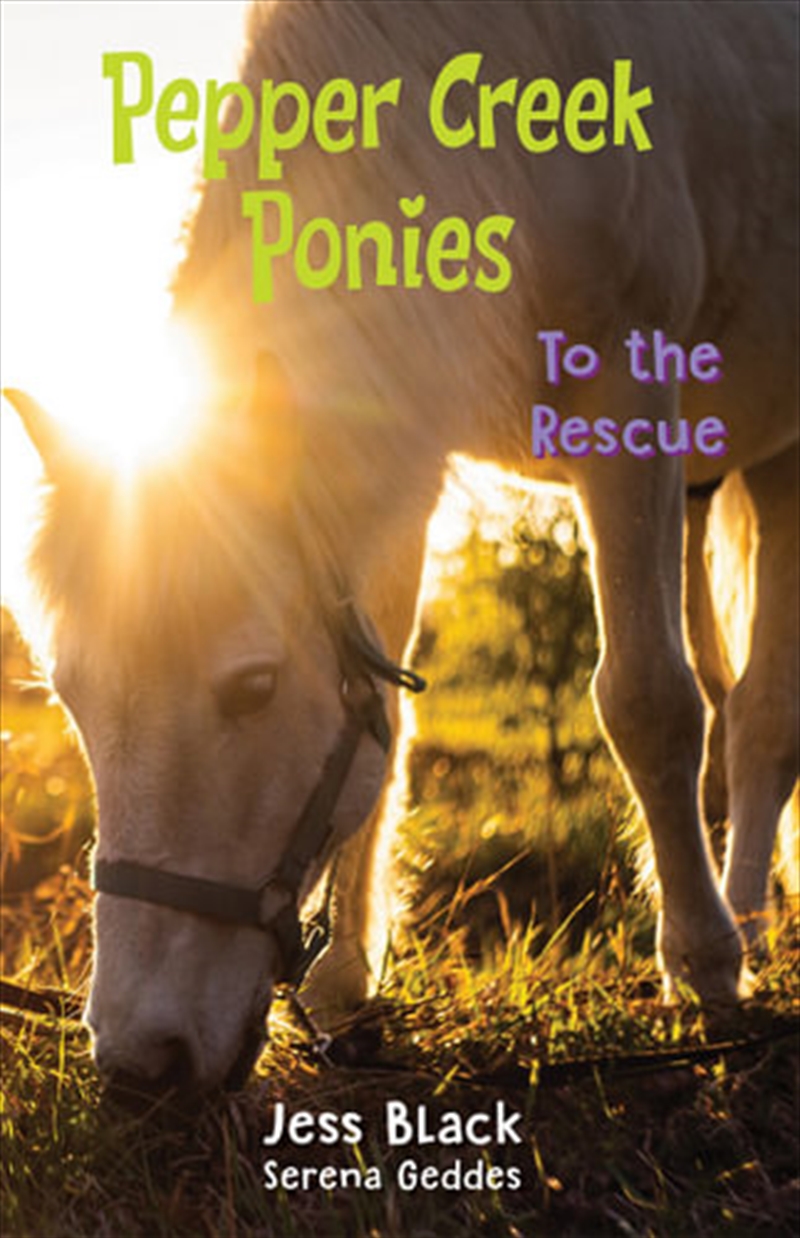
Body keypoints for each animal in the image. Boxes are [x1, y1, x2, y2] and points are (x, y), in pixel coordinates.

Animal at [6, 0, 798, 1094]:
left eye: (251, 687)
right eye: (75, 698)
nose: (138, 1060)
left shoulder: (628, 396)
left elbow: (647, 702)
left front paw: (703, 964)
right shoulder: (399, 467)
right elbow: (384, 718)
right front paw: (345, 979)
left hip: (778, 452)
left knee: (760, 714)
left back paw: (746, 923)